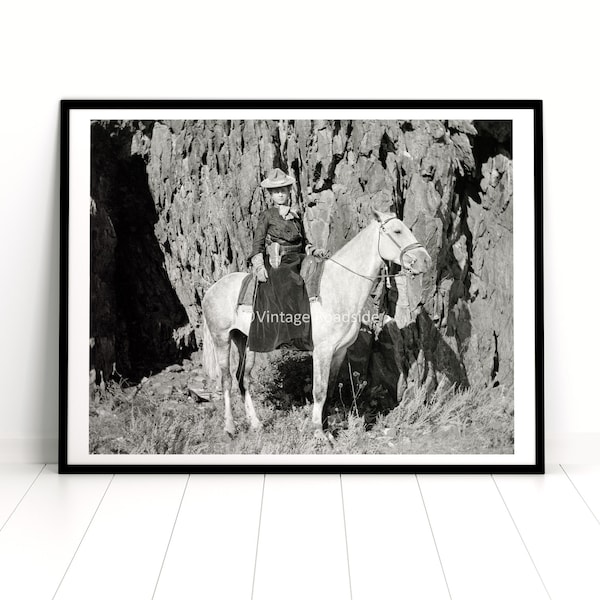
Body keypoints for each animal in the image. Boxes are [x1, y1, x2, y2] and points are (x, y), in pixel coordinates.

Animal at [203, 209, 432, 438]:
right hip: (221, 338)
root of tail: (212, 289)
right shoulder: (322, 350)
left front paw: (327, 428)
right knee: (226, 379)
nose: (425, 261)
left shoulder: (338, 352)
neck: (337, 286)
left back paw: (255, 423)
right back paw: (230, 427)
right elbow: (319, 391)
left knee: (243, 379)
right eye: (397, 231)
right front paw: (318, 432)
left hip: (246, 342)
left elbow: (329, 390)